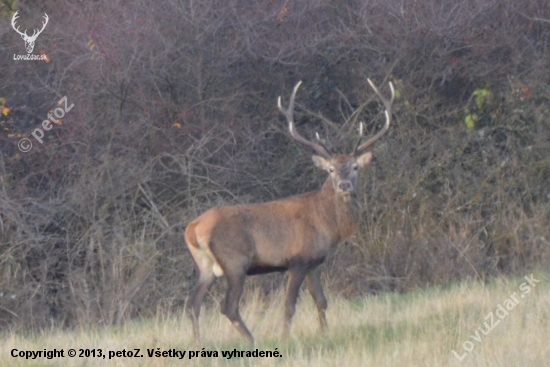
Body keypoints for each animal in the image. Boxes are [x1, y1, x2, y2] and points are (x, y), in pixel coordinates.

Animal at [187, 78, 396, 344]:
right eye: (330, 169)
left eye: (355, 167)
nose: (344, 185)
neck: (326, 224)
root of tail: (192, 229)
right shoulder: (297, 259)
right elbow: (289, 304)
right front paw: (286, 337)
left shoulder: (314, 262)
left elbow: (321, 300)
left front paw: (325, 333)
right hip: (235, 261)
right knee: (228, 306)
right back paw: (252, 340)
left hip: (205, 266)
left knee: (193, 303)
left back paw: (198, 342)